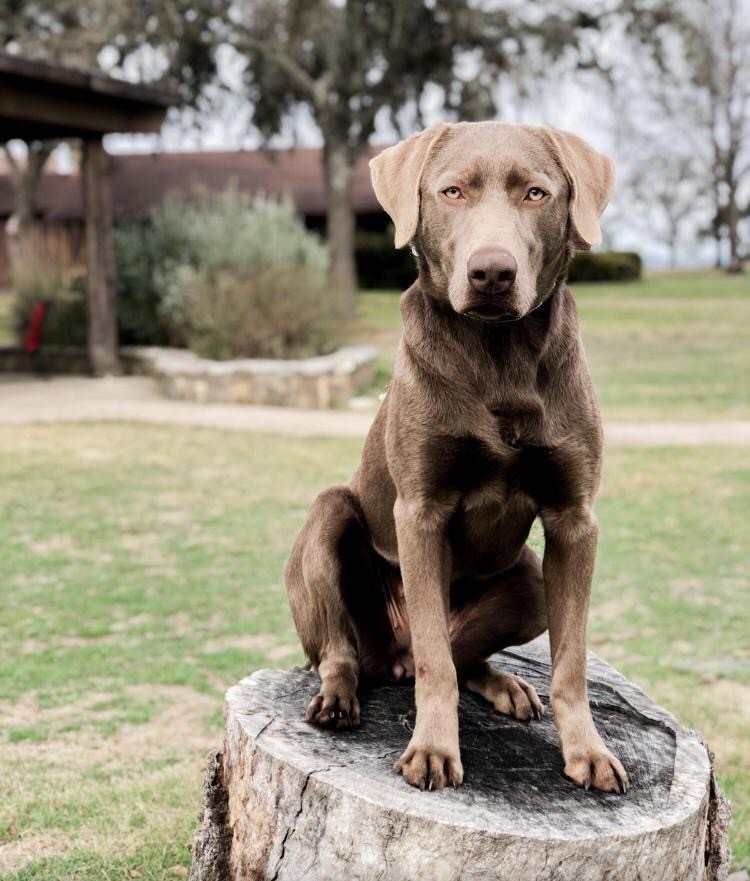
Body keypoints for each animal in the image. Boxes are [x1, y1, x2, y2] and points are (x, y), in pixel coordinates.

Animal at [284, 118, 632, 796]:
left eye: (535, 193)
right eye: (451, 192)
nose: (491, 272)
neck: (499, 355)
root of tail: (385, 657)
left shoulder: (575, 520)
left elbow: (571, 662)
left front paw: (588, 751)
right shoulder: (420, 510)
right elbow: (434, 665)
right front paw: (433, 750)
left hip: (529, 579)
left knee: (464, 653)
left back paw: (502, 684)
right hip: (331, 518)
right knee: (350, 649)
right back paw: (339, 697)